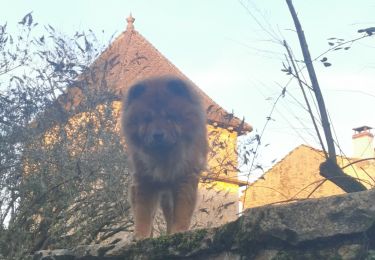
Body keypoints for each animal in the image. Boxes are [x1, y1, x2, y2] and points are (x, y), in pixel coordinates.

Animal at [121, 75, 207, 240]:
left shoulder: (184, 179)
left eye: (170, 117)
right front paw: (140, 236)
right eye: (147, 119)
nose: (158, 135)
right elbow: (143, 213)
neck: (163, 157)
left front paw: (179, 231)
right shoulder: (144, 181)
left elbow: (181, 212)